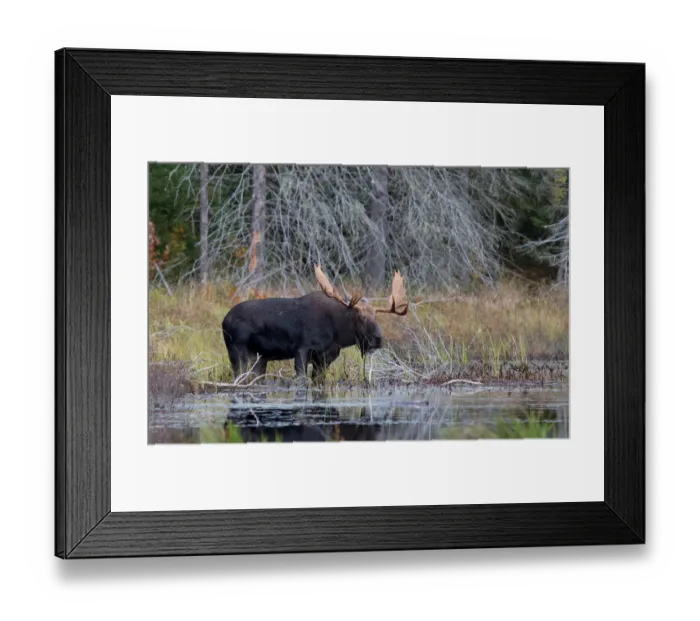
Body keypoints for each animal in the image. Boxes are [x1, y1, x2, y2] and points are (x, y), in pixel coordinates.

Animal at [221, 265, 409, 381]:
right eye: (360, 317)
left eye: (376, 317)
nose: (377, 339)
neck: (337, 335)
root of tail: (224, 321)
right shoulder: (301, 349)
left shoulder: (326, 357)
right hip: (236, 351)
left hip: (259, 357)